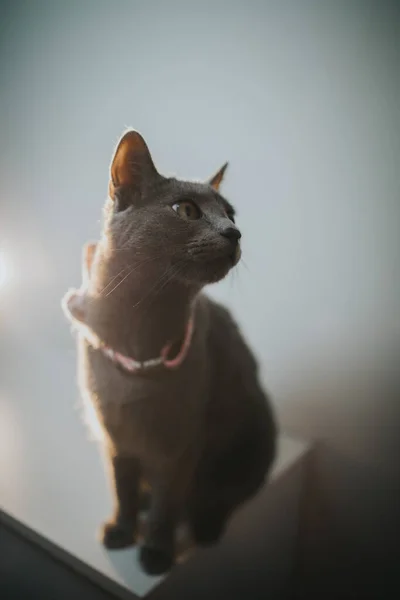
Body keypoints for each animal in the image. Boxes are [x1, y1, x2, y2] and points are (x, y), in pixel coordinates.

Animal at [62, 132, 276, 576]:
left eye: (230, 212)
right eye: (187, 210)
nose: (234, 232)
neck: (139, 336)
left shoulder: (179, 445)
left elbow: (167, 504)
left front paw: (156, 554)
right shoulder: (114, 438)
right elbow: (122, 488)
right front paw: (121, 531)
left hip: (251, 435)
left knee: (221, 497)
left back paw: (206, 528)